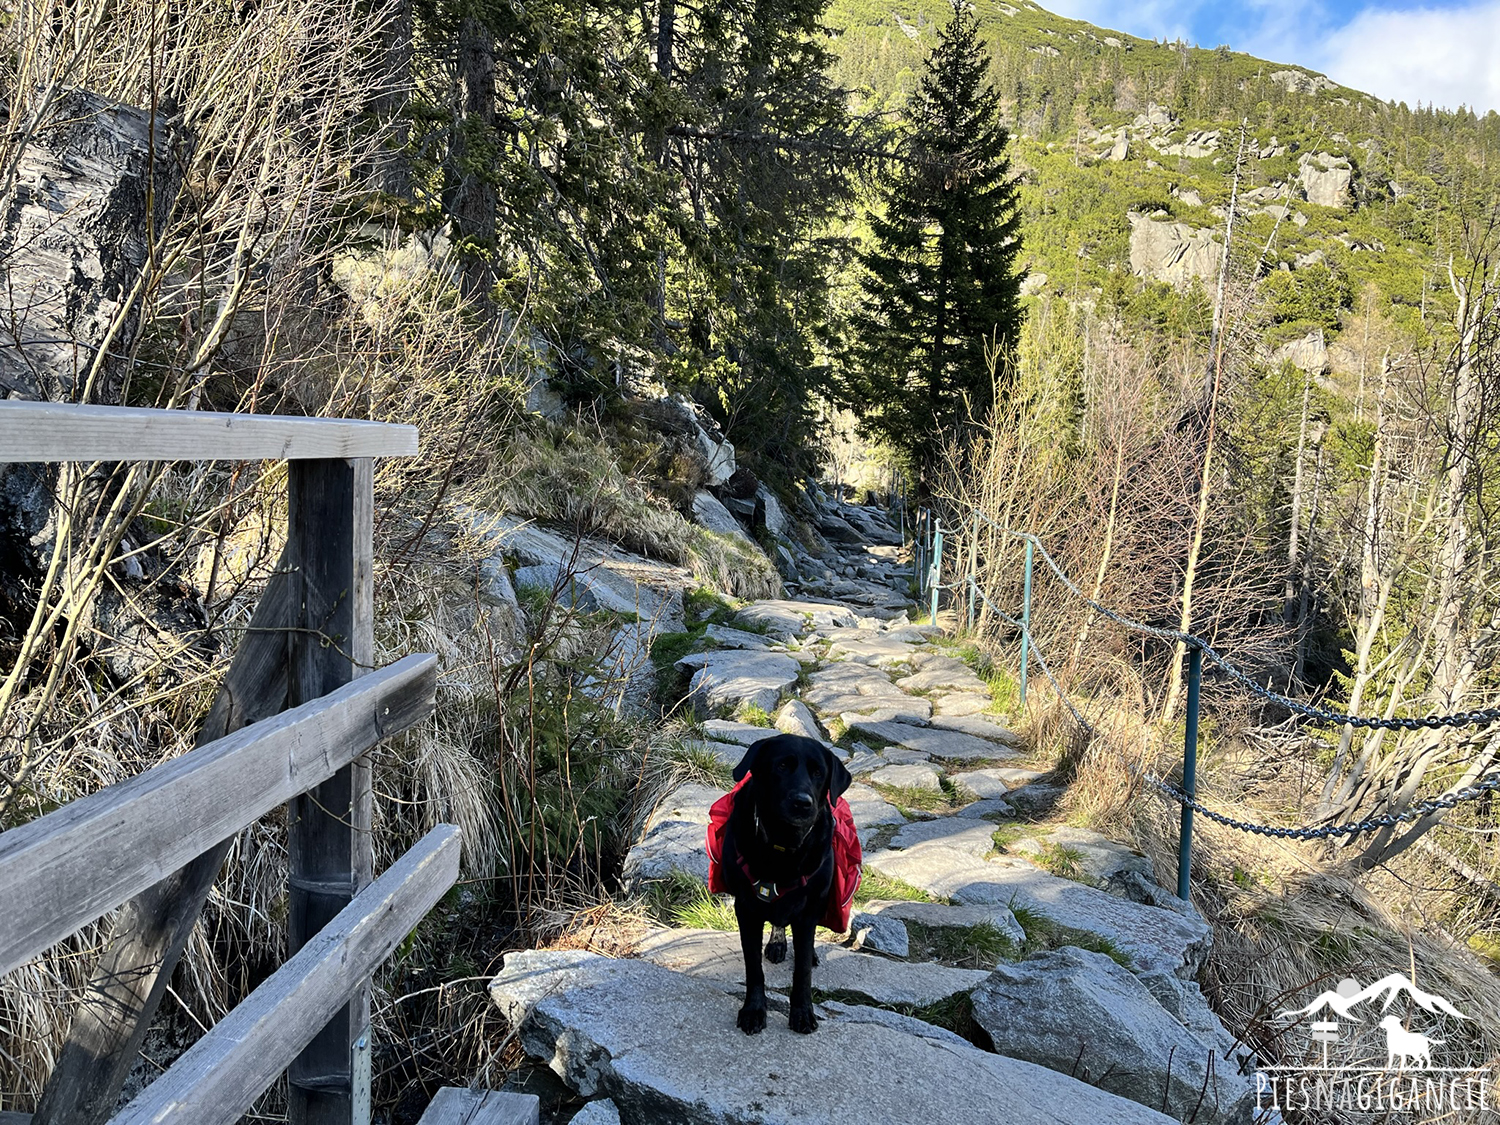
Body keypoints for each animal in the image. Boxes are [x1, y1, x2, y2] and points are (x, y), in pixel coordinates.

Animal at [717, 735, 852, 1038]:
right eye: (781, 766)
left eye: (818, 772)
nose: (803, 803)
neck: (782, 847)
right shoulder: (747, 910)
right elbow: (753, 968)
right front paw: (754, 1010)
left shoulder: (809, 909)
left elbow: (802, 971)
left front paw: (802, 1013)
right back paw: (777, 944)